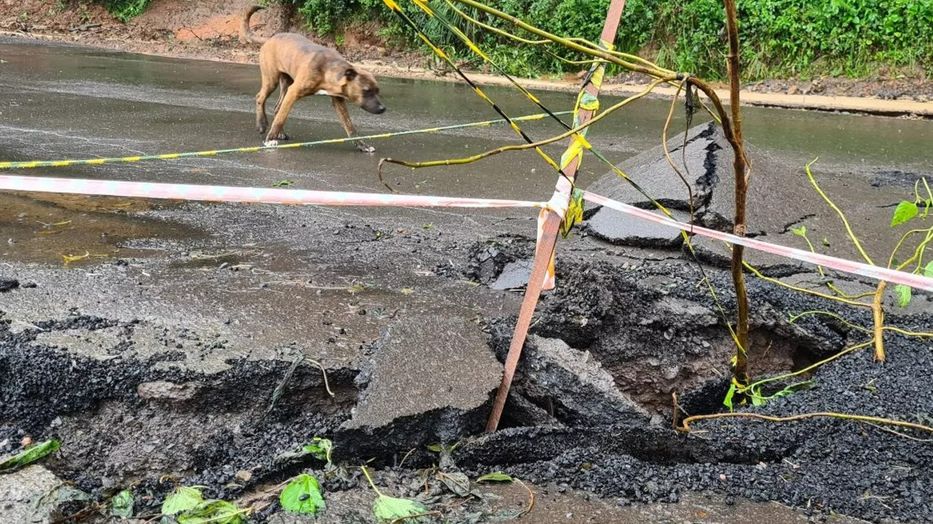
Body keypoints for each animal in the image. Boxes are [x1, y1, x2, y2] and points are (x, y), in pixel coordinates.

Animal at [244, 6, 386, 150]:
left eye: (377, 91)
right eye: (366, 91)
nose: (383, 109)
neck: (327, 70)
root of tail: (270, 39)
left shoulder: (338, 101)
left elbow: (349, 125)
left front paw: (362, 145)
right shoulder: (293, 92)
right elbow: (281, 118)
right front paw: (270, 139)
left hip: (285, 83)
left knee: (278, 107)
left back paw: (280, 133)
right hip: (271, 80)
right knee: (260, 98)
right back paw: (261, 124)